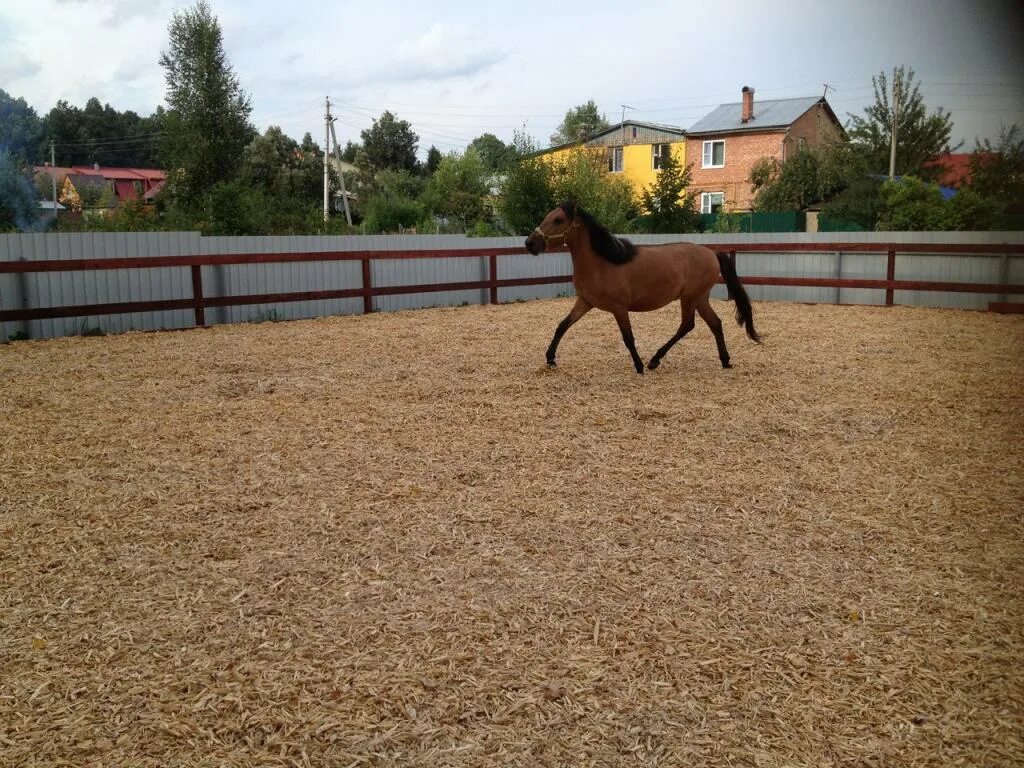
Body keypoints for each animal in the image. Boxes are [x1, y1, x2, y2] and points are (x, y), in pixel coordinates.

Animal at [528, 202, 761, 374]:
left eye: (558, 220)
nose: (530, 243)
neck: (602, 262)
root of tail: (712, 253)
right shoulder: (585, 302)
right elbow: (562, 326)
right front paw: (550, 358)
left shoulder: (619, 308)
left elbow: (628, 338)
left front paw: (639, 366)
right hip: (700, 298)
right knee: (715, 323)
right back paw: (725, 361)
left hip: (690, 298)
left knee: (687, 325)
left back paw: (654, 361)